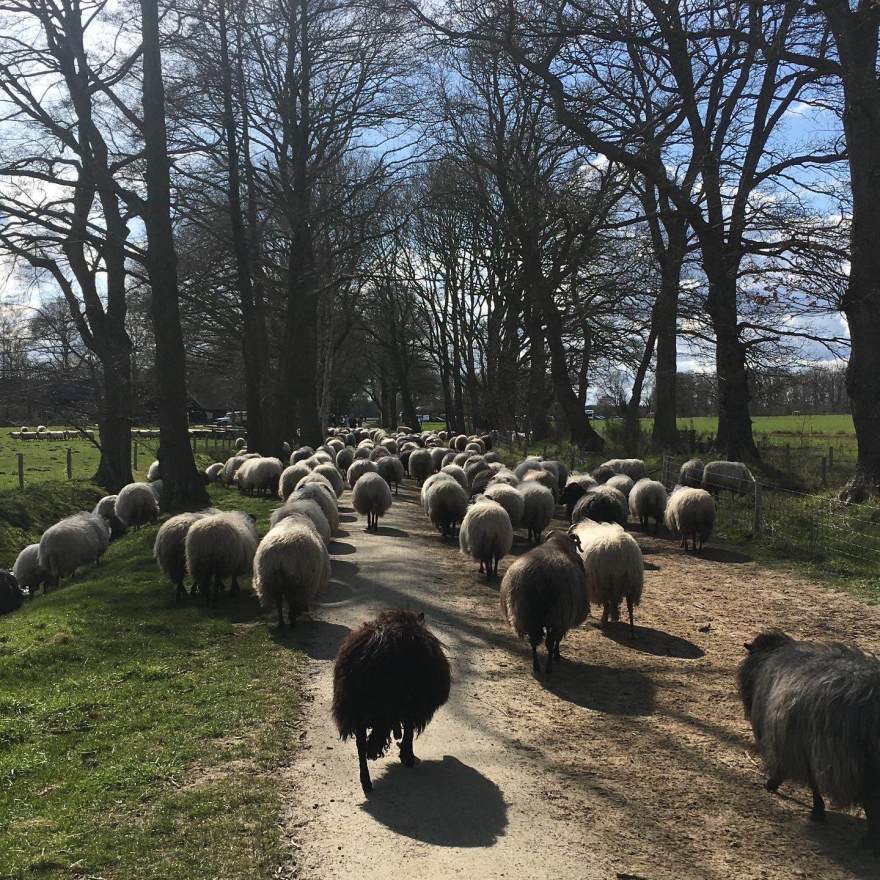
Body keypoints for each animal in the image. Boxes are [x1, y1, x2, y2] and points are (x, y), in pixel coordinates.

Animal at [333, 608, 451, 794]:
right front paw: (406, 755)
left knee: (361, 745)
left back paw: (366, 781)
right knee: (374, 739)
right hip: (387, 705)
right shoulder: (411, 707)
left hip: (358, 709)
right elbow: (408, 731)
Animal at [500, 531, 589, 674]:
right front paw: (557, 656)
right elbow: (557, 640)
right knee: (550, 642)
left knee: (534, 641)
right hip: (557, 614)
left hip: (527, 615)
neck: (557, 544)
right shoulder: (563, 619)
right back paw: (548, 667)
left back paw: (536, 666)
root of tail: (539, 576)